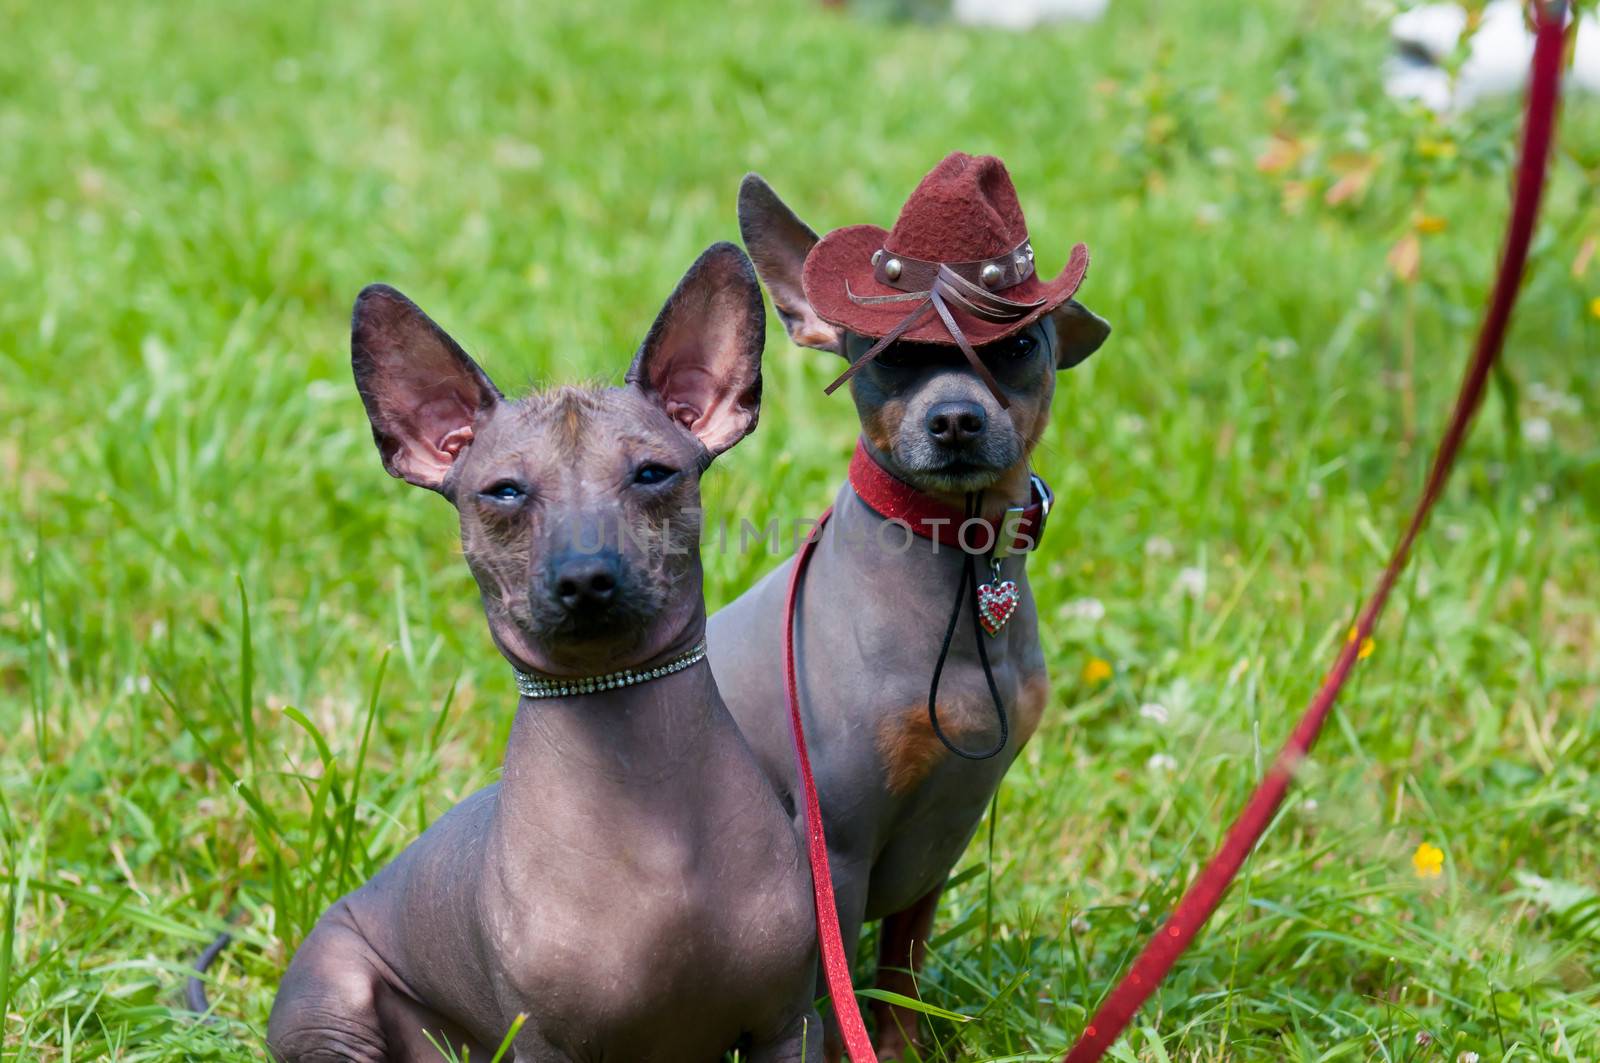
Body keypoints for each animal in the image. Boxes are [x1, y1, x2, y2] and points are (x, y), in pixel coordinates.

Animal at [265, 244, 825, 1056]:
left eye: (652, 473)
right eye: (503, 491)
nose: (585, 576)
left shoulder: (792, 1024)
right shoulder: (544, 1046)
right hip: (332, 1006)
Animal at [707, 153, 1107, 1056]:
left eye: (1019, 345)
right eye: (888, 357)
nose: (955, 418)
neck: (964, 570)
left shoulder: (938, 844)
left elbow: (899, 987)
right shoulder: (840, 854)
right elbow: (834, 1011)